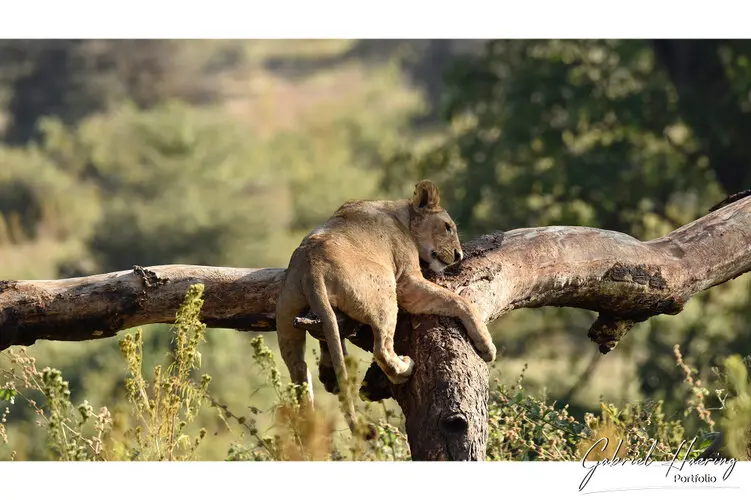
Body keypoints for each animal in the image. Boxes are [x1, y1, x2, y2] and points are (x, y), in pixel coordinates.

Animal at [274, 180, 496, 430]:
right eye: (448, 227)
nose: (458, 255)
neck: (401, 215)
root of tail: (313, 268)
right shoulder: (408, 282)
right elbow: (459, 300)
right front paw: (487, 346)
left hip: (286, 316)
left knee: (298, 370)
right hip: (386, 292)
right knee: (381, 349)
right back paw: (405, 368)